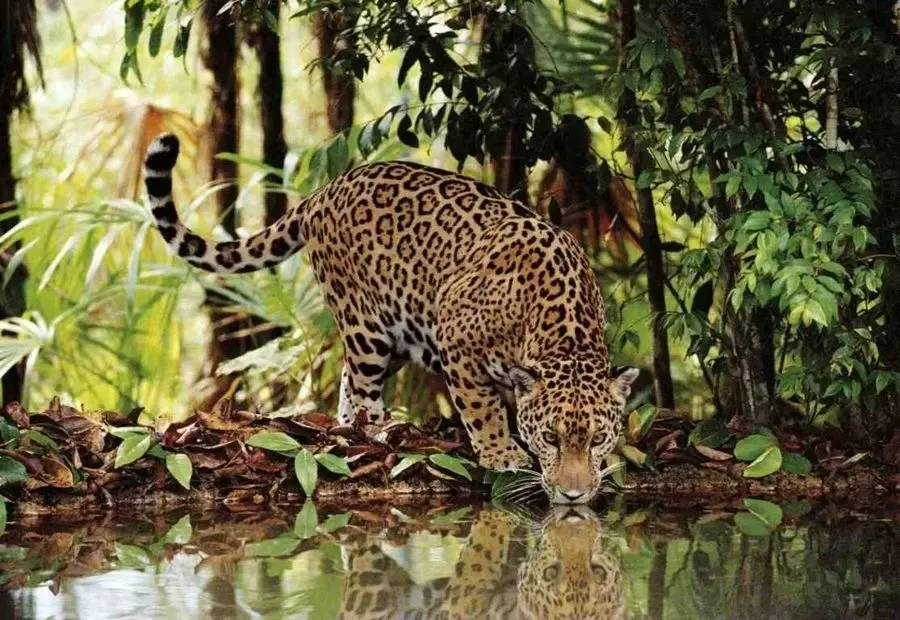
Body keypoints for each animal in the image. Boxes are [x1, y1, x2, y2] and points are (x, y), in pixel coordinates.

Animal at [143, 133, 638, 503]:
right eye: (551, 438)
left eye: (597, 439)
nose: (574, 496)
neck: (559, 328)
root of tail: (324, 191)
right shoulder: (455, 334)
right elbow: (482, 407)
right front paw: (501, 454)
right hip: (365, 323)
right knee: (363, 386)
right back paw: (376, 432)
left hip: (397, 330)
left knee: (348, 381)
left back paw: (350, 428)